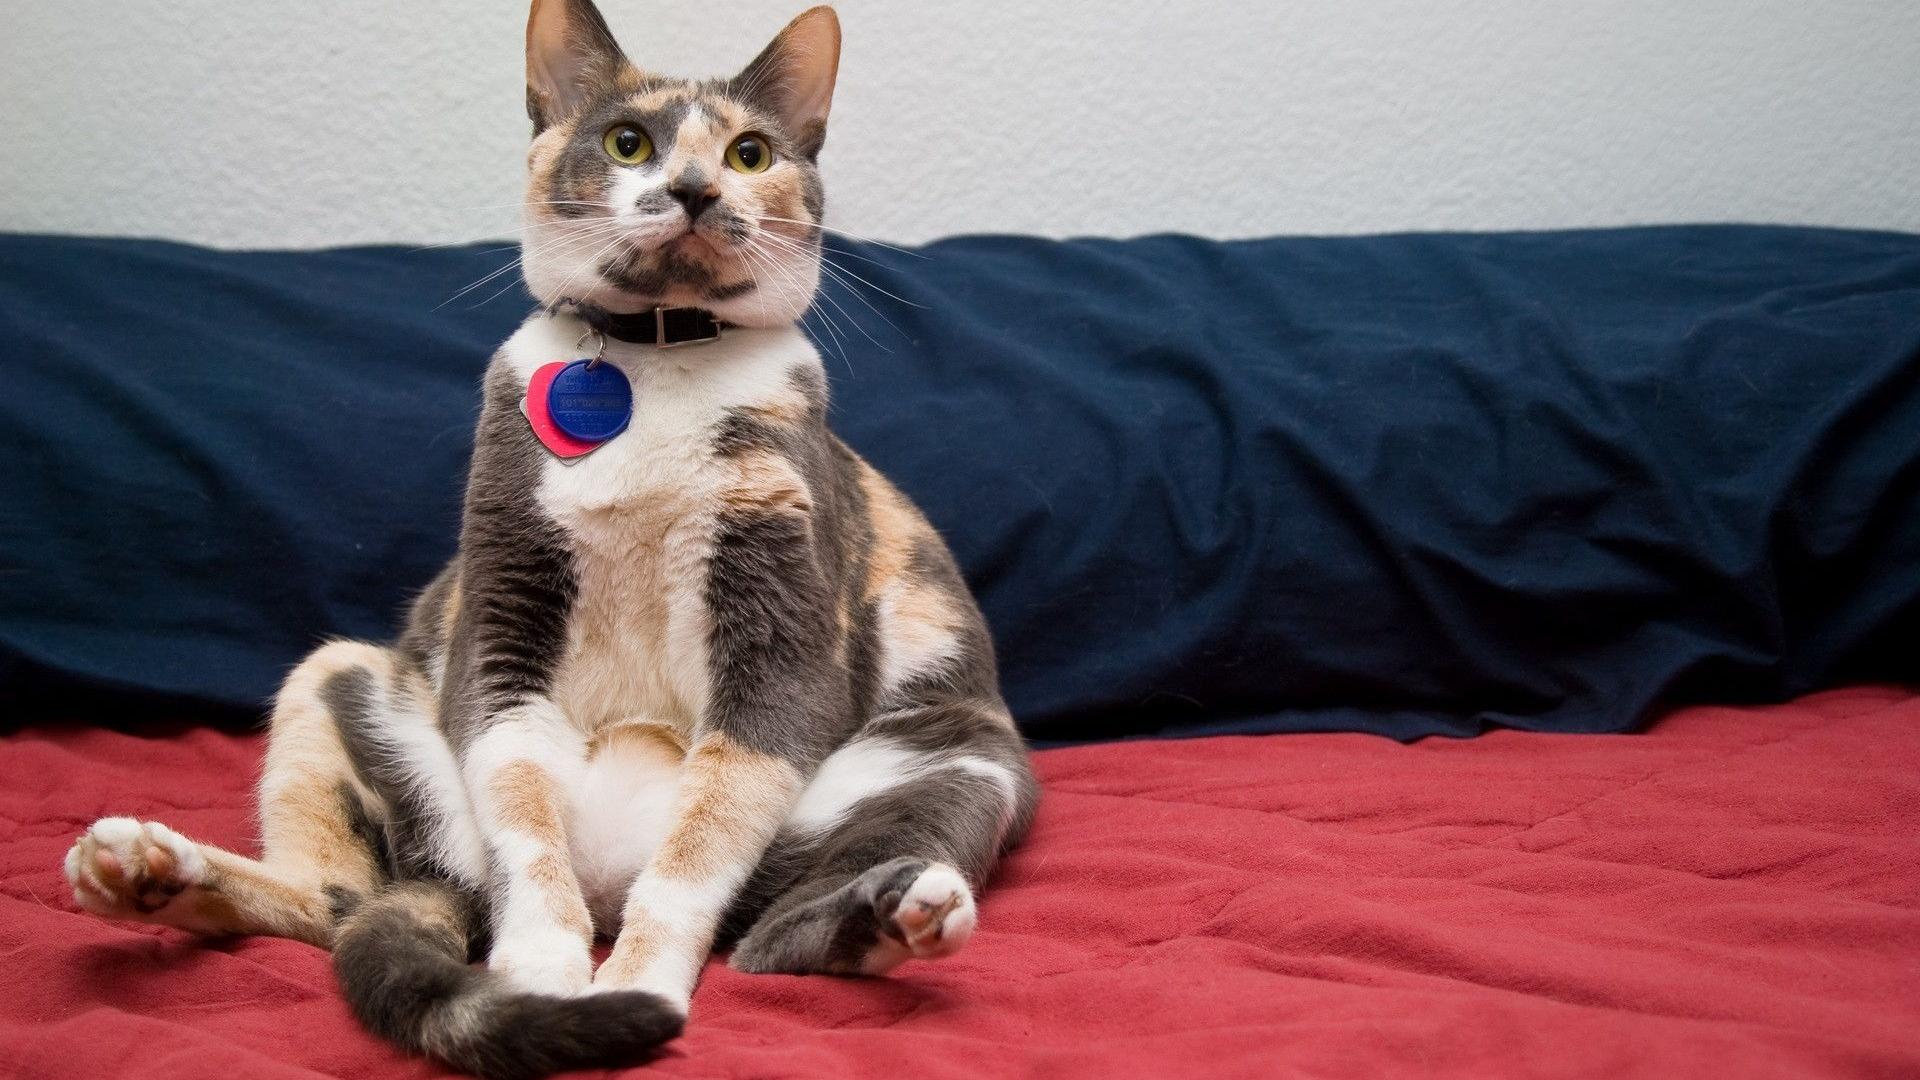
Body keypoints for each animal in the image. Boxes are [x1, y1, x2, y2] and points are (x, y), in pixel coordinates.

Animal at [59, 3, 1038, 1077]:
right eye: (627, 142)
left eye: (750, 153)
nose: (693, 188)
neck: (654, 365)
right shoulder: (500, 619)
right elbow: (522, 815)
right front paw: (540, 974)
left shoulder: (782, 639)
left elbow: (698, 850)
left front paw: (637, 987)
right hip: (336, 677)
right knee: (345, 899)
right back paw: (141, 869)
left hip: (960, 760)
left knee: (769, 937)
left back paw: (900, 910)